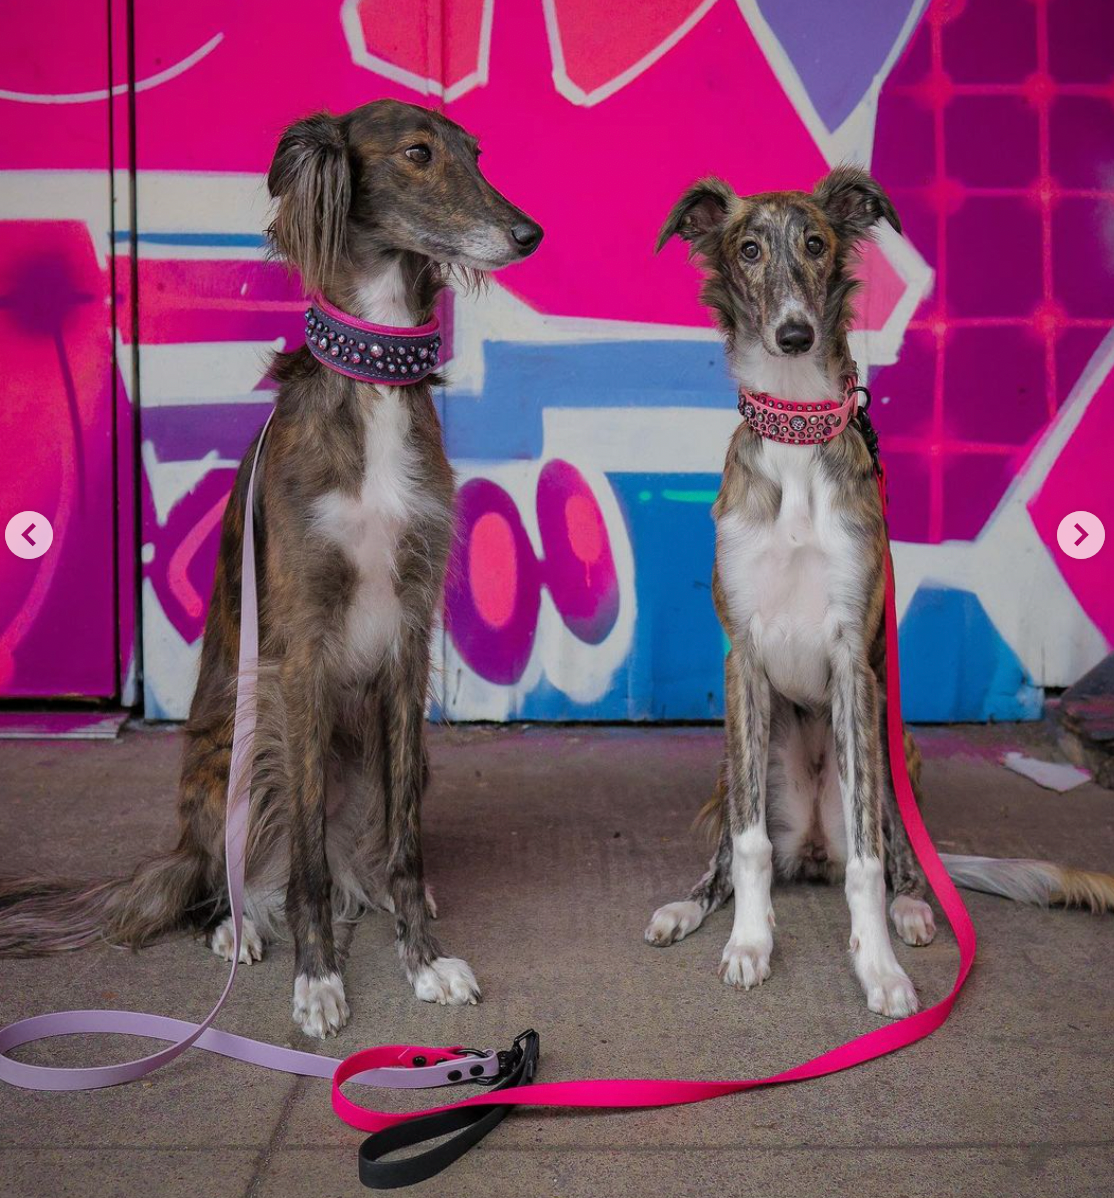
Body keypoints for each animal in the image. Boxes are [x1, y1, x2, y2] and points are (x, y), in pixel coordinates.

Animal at [0, 100, 543, 1039]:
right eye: (416, 154)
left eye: (476, 154)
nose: (528, 235)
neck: (373, 389)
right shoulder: (300, 645)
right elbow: (310, 862)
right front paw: (318, 980)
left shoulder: (410, 631)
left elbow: (402, 842)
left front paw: (422, 959)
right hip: (240, 748)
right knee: (226, 873)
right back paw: (237, 925)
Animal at [642, 164, 1111, 1015]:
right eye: (749, 249)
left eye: (817, 242)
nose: (794, 334)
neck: (796, 432)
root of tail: (810, 850)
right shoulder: (743, 658)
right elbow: (749, 848)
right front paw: (750, 944)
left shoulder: (854, 664)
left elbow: (867, 858)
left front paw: (880, 968)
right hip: (733, 763)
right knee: (734, 853)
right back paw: (686, 907)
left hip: (902, 750)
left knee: (893, 855)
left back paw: (914, 908)